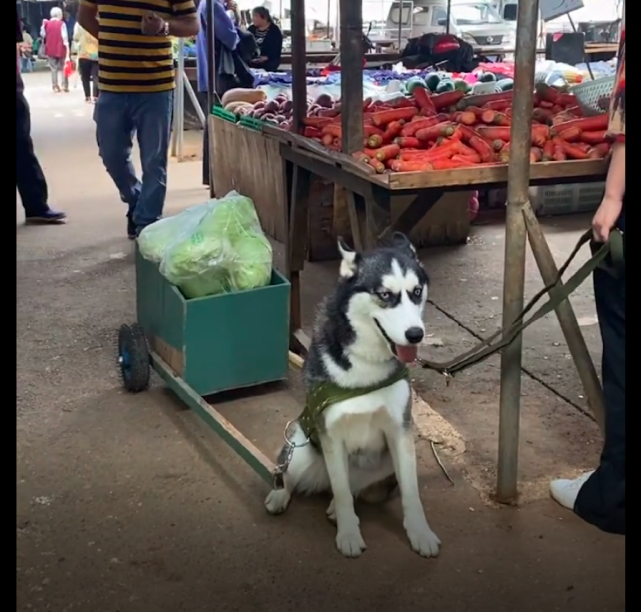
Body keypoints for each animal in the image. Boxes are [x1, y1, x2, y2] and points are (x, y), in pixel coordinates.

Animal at [264, 232, 440, 556]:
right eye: (384, 295)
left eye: (417, 291)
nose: (415, 335)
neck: (366, 363)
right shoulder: (331, 434)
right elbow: (343, 490)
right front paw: (348, 535)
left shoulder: (400, 432)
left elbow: (410, 492)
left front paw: (420, 533)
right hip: (301, 450)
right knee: (292, 473)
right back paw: (281, 494)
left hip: (385, 464)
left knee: (354, 487)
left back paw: (333, 507)